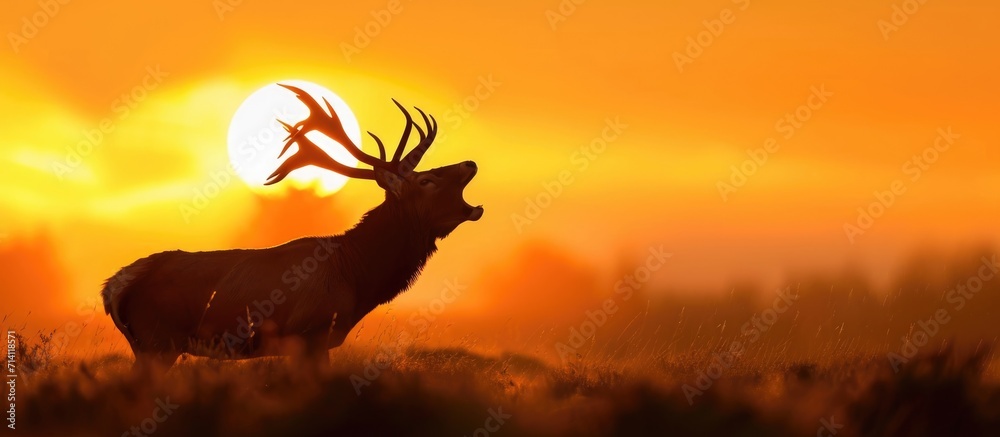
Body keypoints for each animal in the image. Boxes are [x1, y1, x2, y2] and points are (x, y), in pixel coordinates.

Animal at [100, 84, 483, 373]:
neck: (355, 276)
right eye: (426, 180)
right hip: (158, 340)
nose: (470, 162)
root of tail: (112, 288)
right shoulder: (308, 333)